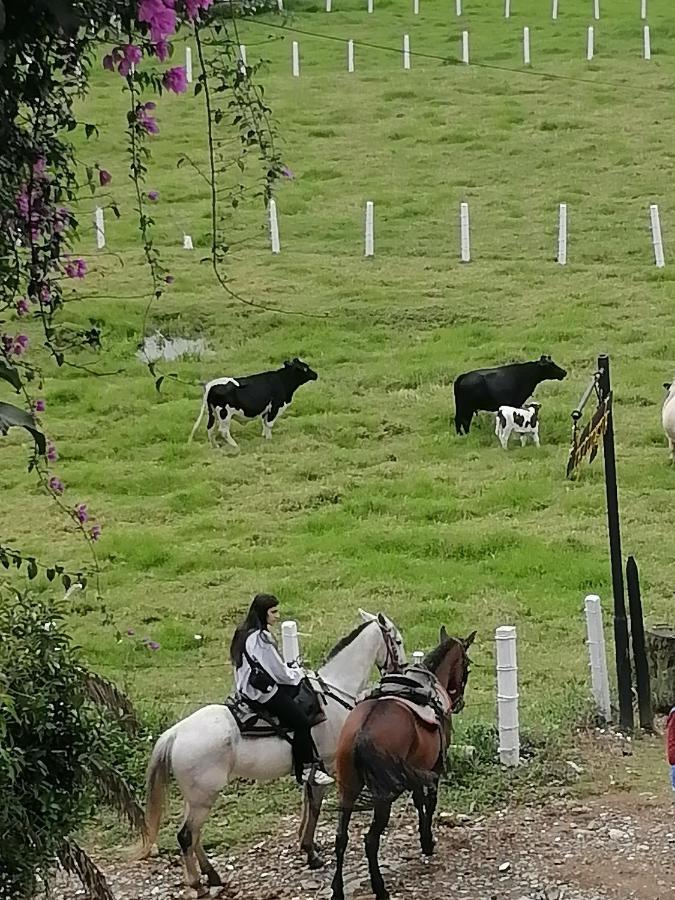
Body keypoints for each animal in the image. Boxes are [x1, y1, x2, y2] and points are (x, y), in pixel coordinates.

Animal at [135, 608, 404, 896]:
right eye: (397, 642)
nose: (401, 671)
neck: (333, 693)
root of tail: (174, 734)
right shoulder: (327, 765)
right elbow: (315, 806)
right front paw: (311, 854)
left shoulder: (311, 768)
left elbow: (307, 804)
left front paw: (308, 846)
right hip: (203, 797)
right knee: (186, 835)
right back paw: (199, 884)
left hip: (197, 797)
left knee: (194, 835)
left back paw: (213, 876)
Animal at [187, 356, 320, 446]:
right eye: (305, 368)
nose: (316, 375)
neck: (282, 381)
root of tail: (210, 385)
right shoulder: (275, 406)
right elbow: (269, 424)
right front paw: (269, 439)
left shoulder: (266, 409)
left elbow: (264, 423)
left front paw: (264, 437)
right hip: (224, 413)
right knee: (223, 431)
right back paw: (235, 445)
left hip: (212, 413)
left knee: (210, 428)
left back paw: (216, 447)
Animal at [330, 624, 472, 900]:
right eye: (467, 665)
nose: (459, 702)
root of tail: (361, 733)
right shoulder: (434, 768)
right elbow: (429, 801)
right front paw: (427, 842)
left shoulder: (416, 768)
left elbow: (418, 801)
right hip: (382, 797)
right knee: (370, 840)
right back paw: (380, 888)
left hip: (347, 789)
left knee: (341, 838)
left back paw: (337, 890)